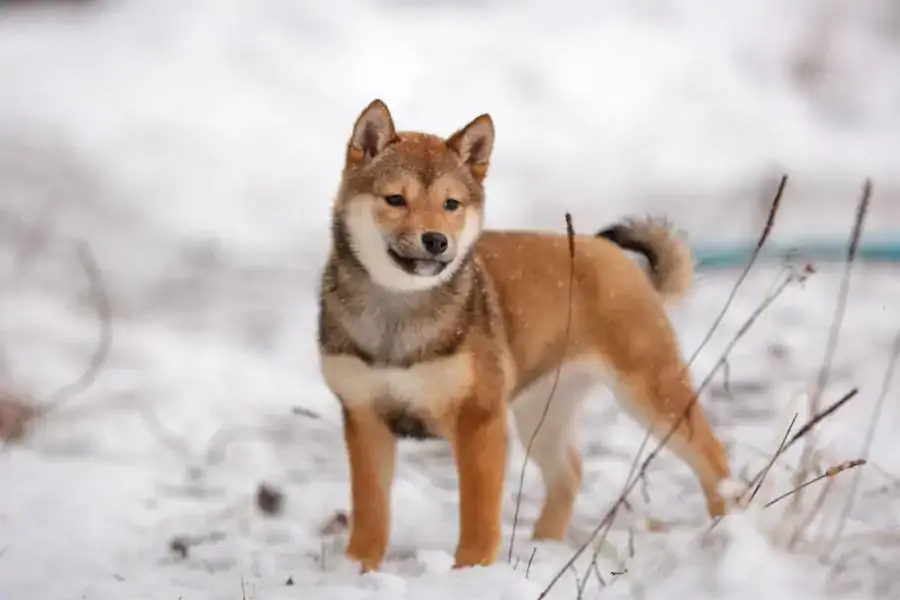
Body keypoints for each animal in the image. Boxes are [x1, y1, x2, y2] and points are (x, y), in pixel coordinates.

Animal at [316, 98, 732, 572]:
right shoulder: (364, 417)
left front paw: (471, 571)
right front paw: (357, 567)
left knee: (713, 457)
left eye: (451, 204)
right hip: (542, 409)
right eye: (395, 199)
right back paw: (545, 546)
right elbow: (371, 511)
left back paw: (729, 526)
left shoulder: (480, 418)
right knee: (569, 473)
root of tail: (616, 259)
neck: (398, 315)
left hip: (650, 393)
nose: (436, 240)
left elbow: (478, 515)